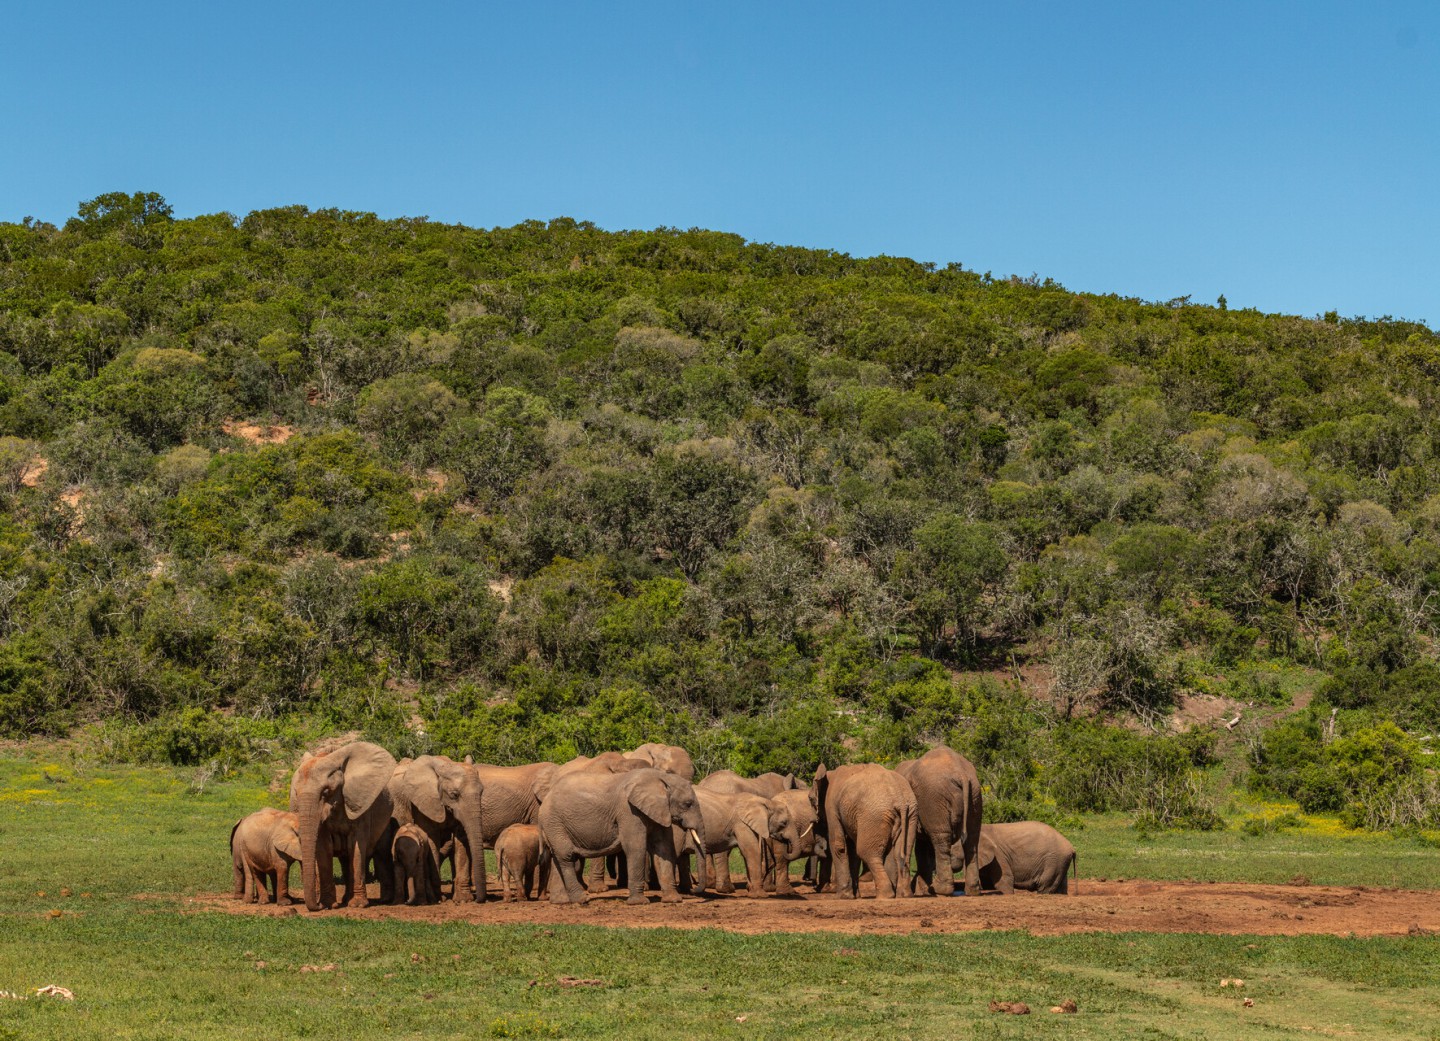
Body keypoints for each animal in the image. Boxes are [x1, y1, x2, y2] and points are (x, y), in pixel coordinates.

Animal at [289, 742, 397, 909]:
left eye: (326, 792)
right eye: (295, 793)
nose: (318, 906)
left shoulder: (360, 807)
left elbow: (357, 848)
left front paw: (358, 905)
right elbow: (324, 848)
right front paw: (329, 905)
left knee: (381, 853)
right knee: (345, 860)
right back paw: (346, 899)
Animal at [388, 760, 489, 904]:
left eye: (481, 793)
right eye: (454, 795)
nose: (479, 900)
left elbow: (461, 840)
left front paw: (463, 900)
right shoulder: (423, 804)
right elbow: (432, 837)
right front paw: (438, 899)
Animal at [538, 765, 705, 904]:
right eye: (688, 804)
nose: (693, 891)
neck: (661, 778)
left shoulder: (659, 810)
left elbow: (663, 849)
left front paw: (673, 900)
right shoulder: (628, 811)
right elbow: (635, 847)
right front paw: (639, 903)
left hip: (554, 824)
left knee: (558, 857)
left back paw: (561, 902)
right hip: (554, 821)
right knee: (566, 856)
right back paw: (581, 900)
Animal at [812, 760, 910, 898]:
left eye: (810, 800)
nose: (815, 887)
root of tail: (900, 801)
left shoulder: (831, 806)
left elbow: (839, 845)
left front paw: (843, 896)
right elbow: (853, 851)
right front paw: (855, 896)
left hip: (873, 816)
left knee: (866, 852)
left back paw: (885, 895)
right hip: (904, 818)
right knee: (897, 854)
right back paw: (900, 894)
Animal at [892, 742, 984, 898]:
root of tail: (962, 774)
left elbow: (922, 849)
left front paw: (924, 891)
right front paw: (924, 890)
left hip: (934, 800)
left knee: (941, 839)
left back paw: (940, 890)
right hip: (975, 796)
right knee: (972, 840)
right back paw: (972, 891)